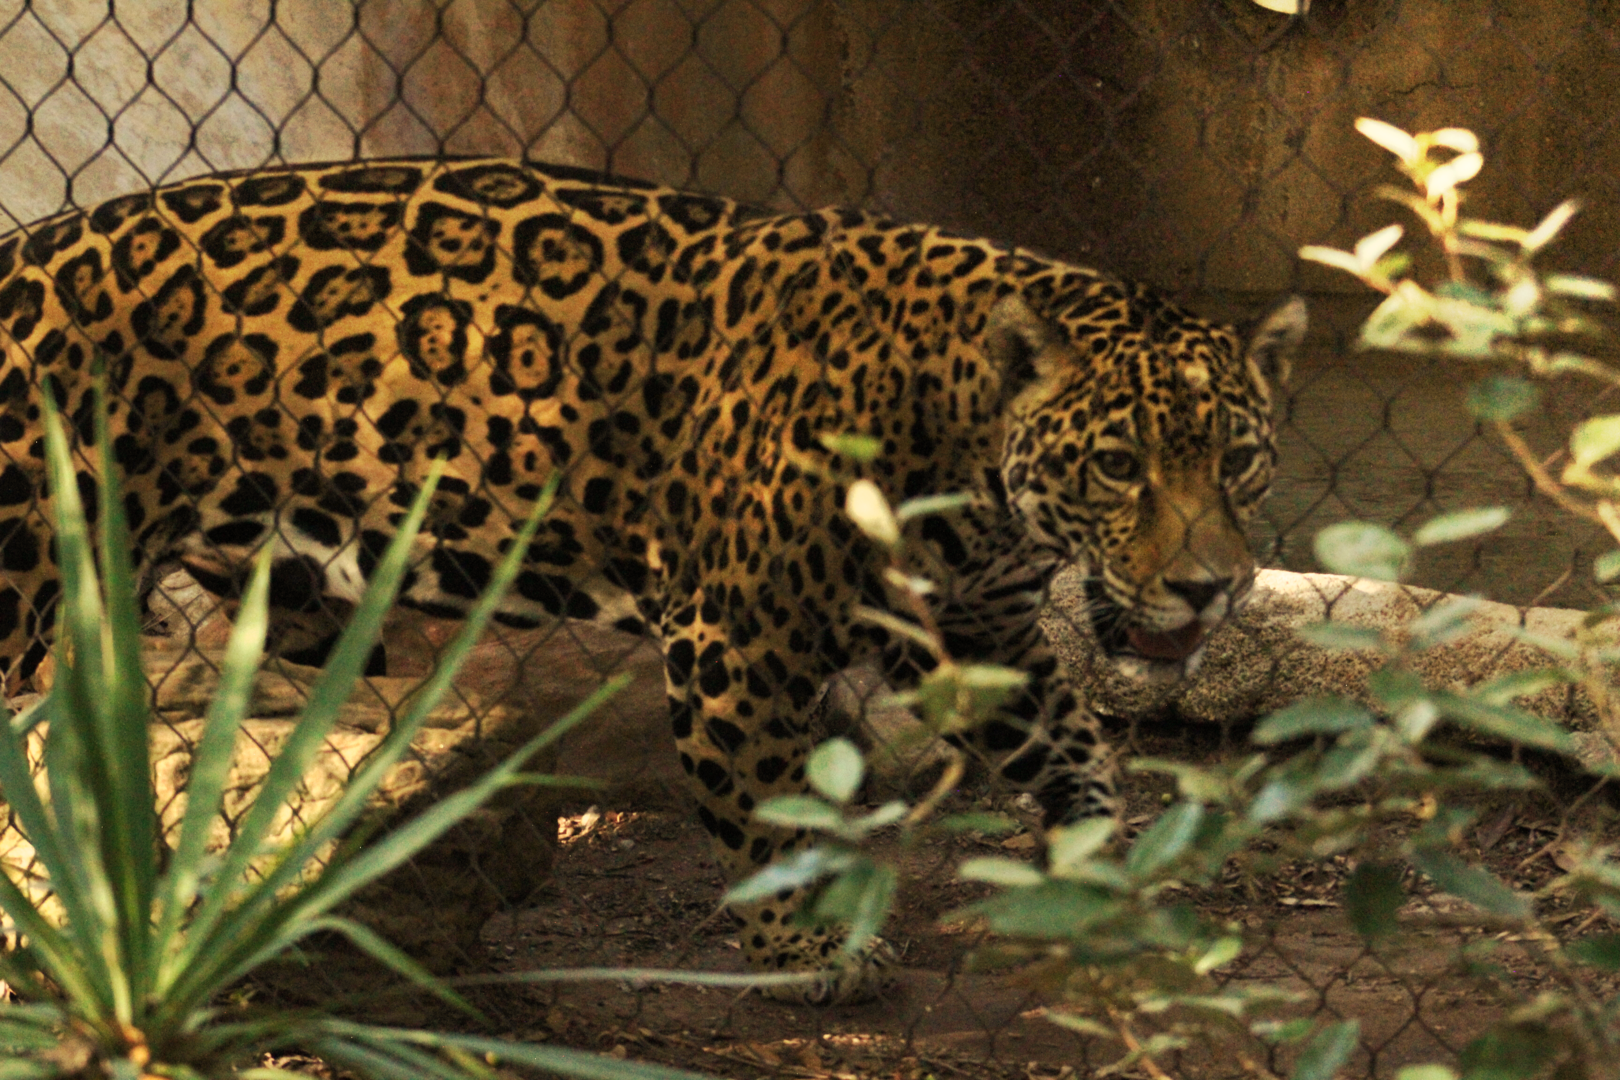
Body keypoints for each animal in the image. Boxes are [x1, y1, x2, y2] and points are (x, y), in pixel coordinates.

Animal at [0, 157, 1305, 1004]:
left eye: (1238, 460)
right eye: (1119, 465)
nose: (1212, 589)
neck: (968, 443)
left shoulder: (980, 629)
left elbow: (1075, 751)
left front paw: (1117, 883)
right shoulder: (739, 630)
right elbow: (768, 801)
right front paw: (802, 954)